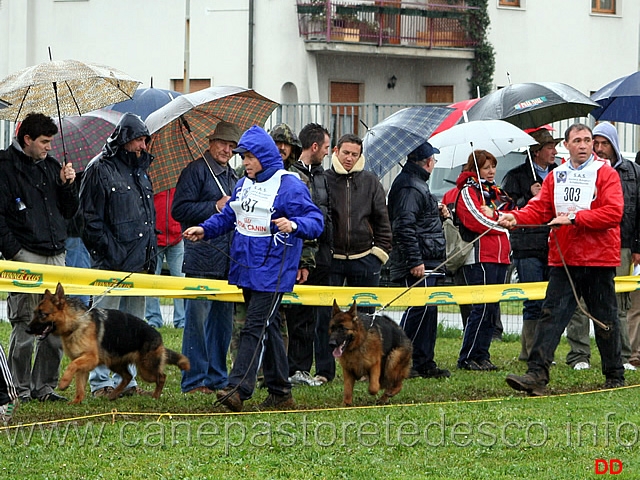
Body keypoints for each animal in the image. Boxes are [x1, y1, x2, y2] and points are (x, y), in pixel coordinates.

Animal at [27, 284, 190, 404]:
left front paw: (64, 383)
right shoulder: (83, 363)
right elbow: (80, 386)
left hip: (146, 369)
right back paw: (114, 395)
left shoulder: (89, 359)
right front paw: (77, 401)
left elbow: (71, 366)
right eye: (34, 312)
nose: (27, 329)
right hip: (115, 363)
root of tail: (157, 335)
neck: (76, 322)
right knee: (128, 377)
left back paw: (155, 396)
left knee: (161, 376)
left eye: (43, 315)